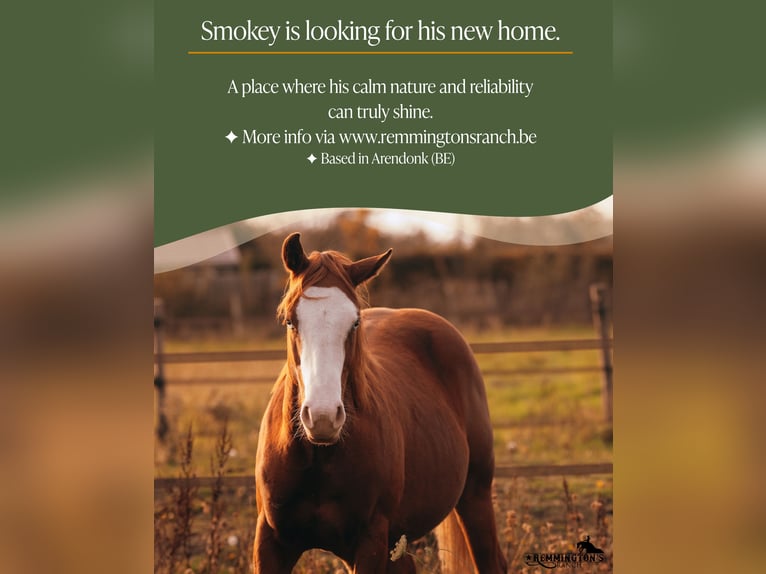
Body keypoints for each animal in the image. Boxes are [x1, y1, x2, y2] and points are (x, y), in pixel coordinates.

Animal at [254, 233, 507, 573]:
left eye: (354, 323)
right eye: (290, 322)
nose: (322, 418)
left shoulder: (370, 541)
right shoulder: (270, 543)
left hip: (475, 495)